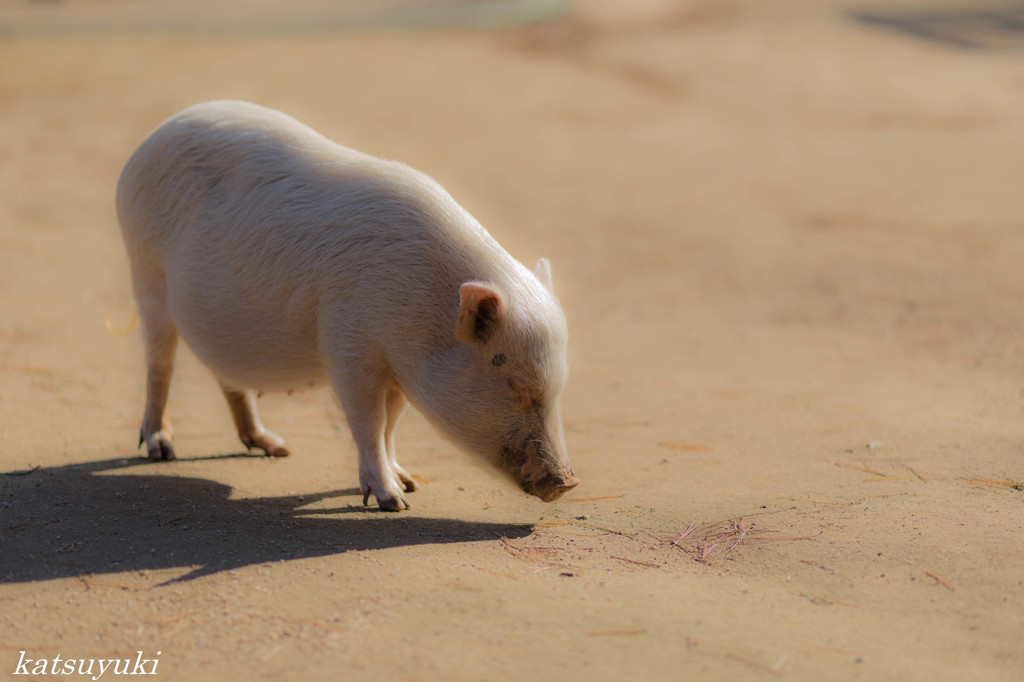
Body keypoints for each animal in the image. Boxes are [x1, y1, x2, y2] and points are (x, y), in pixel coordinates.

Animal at [117, 98, 581, 507]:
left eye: (558, 386)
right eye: (514, 384)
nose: (567, 483)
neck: (425, 308)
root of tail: (151, 139)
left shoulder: (398, 367)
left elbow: (391, 425)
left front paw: (408, 483)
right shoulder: (350, 347)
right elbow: (368, 422)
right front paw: (393, 502)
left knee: (226, 378)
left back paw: (275, 447)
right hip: (146, 274)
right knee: (160, 365)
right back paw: (161, 449)